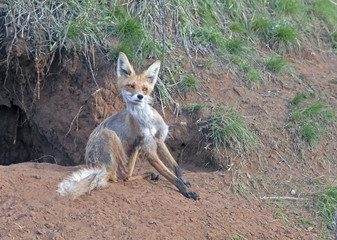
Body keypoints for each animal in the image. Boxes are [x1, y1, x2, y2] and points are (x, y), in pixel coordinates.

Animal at [57, 52, 200, 201]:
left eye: (145, 89)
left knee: (126, 177)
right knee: (123, 175)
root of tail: (96, 167)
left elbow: (175, 166)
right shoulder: (149, 148)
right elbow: (170, 175)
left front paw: (184, 180)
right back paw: (138, 151)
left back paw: (148, 174)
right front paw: (186, 191)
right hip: (109, 134)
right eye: (131, 86)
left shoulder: (159, 140)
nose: (140, 96)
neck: (147, 120)